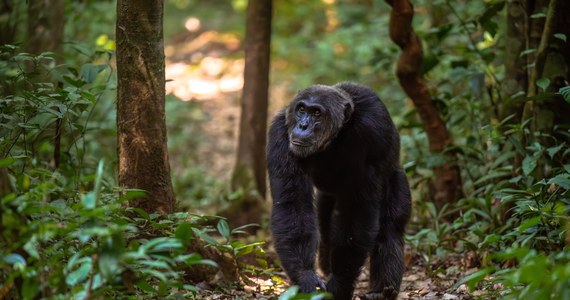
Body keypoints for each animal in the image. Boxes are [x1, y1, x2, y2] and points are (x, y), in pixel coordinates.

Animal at [266, 82, 408, 300]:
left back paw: (381, 292)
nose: (303, 125)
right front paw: (305, 276)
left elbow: (358, 212)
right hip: (327, 196)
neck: (335, 137)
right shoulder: (280, 134)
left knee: (390, 228)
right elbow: (293, 204)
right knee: (325, 228)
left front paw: (340, 283)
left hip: (396, 176)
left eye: (316, 113)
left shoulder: (373, 133)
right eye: (301, 110)